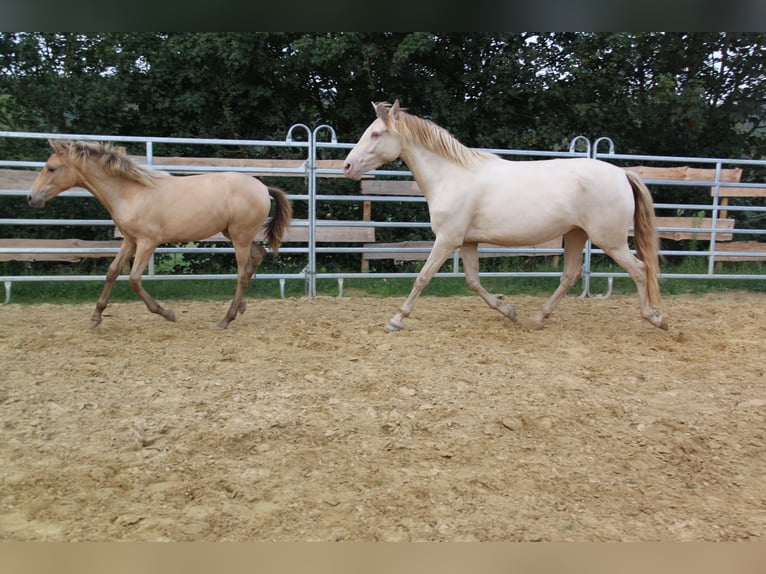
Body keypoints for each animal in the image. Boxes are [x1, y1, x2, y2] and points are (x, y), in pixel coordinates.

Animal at [28, 141, 292, 328]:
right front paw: (96, 316)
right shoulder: (130, 240)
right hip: (236, 235)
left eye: (51, 168)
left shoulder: (147, 242)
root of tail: (262, 187)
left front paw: (168, 314)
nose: (31, 198)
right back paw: (240, 307)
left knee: (242, 273)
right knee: (256, 258)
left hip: (239, 237)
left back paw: (226, 319)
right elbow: (113, 271)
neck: (131, 193)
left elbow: (134, 279)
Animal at [344, 101, 668, 330]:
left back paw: (655, 318)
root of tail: (622, 174)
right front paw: (509, 311)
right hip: (576, 234)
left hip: (610, 240)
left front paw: (396, 320)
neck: (451, 175)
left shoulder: (447, 239)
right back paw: (538, 318)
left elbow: (422, 277)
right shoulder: (468, 242)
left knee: (640, 270)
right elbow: (473, 281)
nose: (348, 166)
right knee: (570, 275)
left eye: (376, 133)